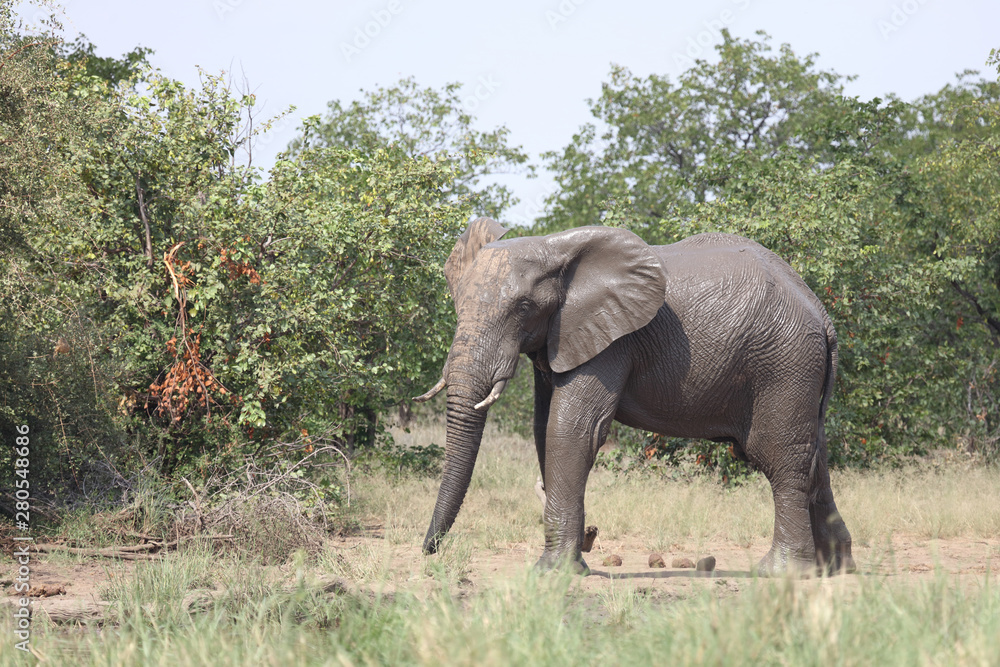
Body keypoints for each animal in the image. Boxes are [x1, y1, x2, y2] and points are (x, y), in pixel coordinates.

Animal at [414, 217, 855, 576]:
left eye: (523, 307)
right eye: (457, 304)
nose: (428, 551)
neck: (553, 247)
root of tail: (822, 313)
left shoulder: (612, 340)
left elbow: (573, 429)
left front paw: (552, 573)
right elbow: (543, 429)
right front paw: (573, 563)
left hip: (784, 363)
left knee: (780, 458)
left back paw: (781, 573)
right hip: (799, 371)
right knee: (815, 456)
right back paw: (835, 569)